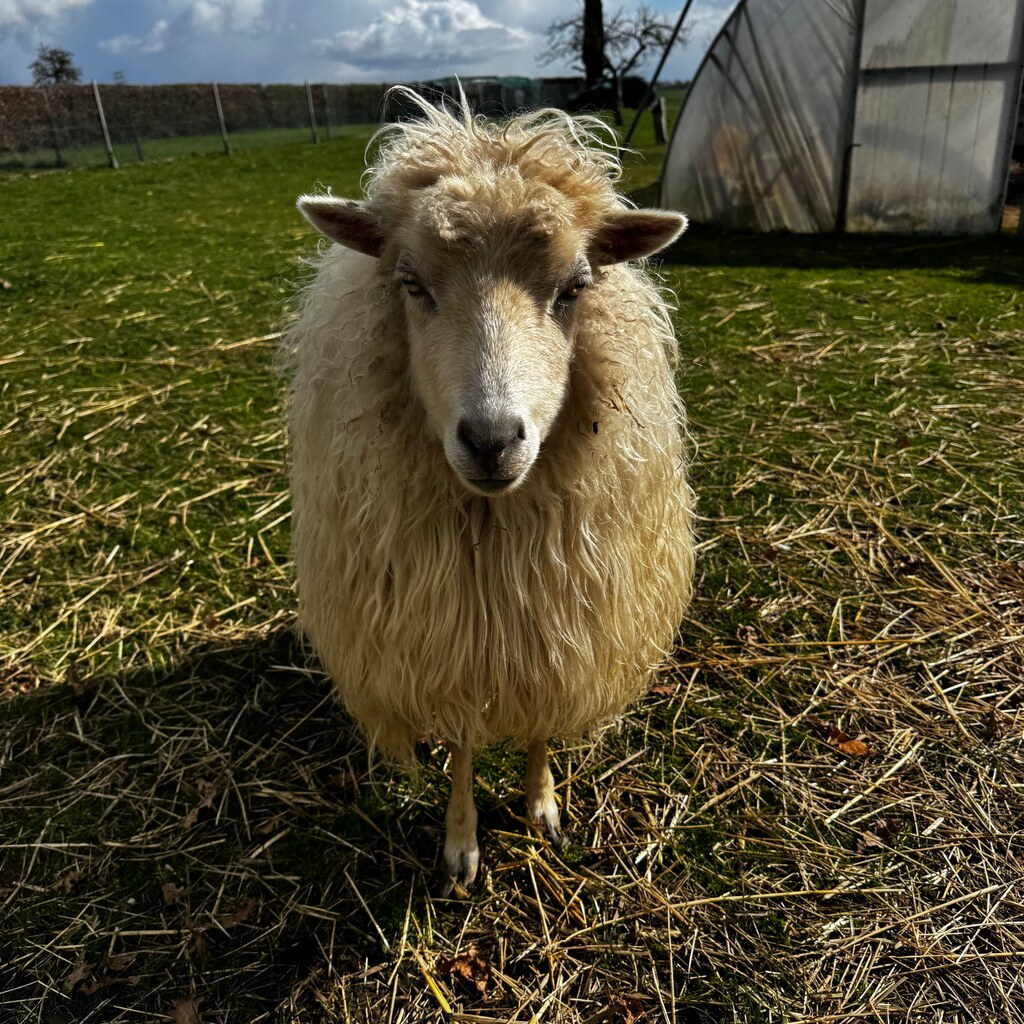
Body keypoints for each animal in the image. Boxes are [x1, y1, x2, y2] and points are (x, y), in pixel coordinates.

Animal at [284, 88, 694, 894]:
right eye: (411, 284)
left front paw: (541, 805)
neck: (495, 520)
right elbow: (465, 743)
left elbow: (542, 718)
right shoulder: (448, 628)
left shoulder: (558, 617)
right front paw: (461, 841)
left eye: (574, 288)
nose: (493, 439)